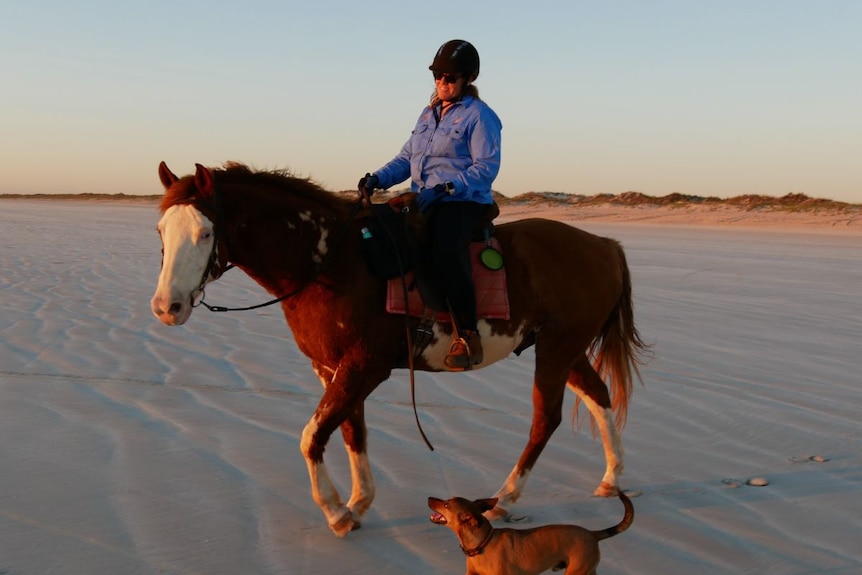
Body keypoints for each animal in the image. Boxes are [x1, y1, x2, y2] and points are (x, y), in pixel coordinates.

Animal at [152, 163, 648, 540]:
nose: (165, 307)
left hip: (556, 350)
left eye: (204, 233)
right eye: (161, 230)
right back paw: (611, 479)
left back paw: (504, 498)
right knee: (599, 396)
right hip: (565, 349)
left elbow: (312, 437)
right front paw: (358, 503)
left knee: (546, 420)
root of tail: (604, 246)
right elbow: (350, 432)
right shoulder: (332, 368)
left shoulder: (365, 366)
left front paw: (335, 512)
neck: (333, 263)